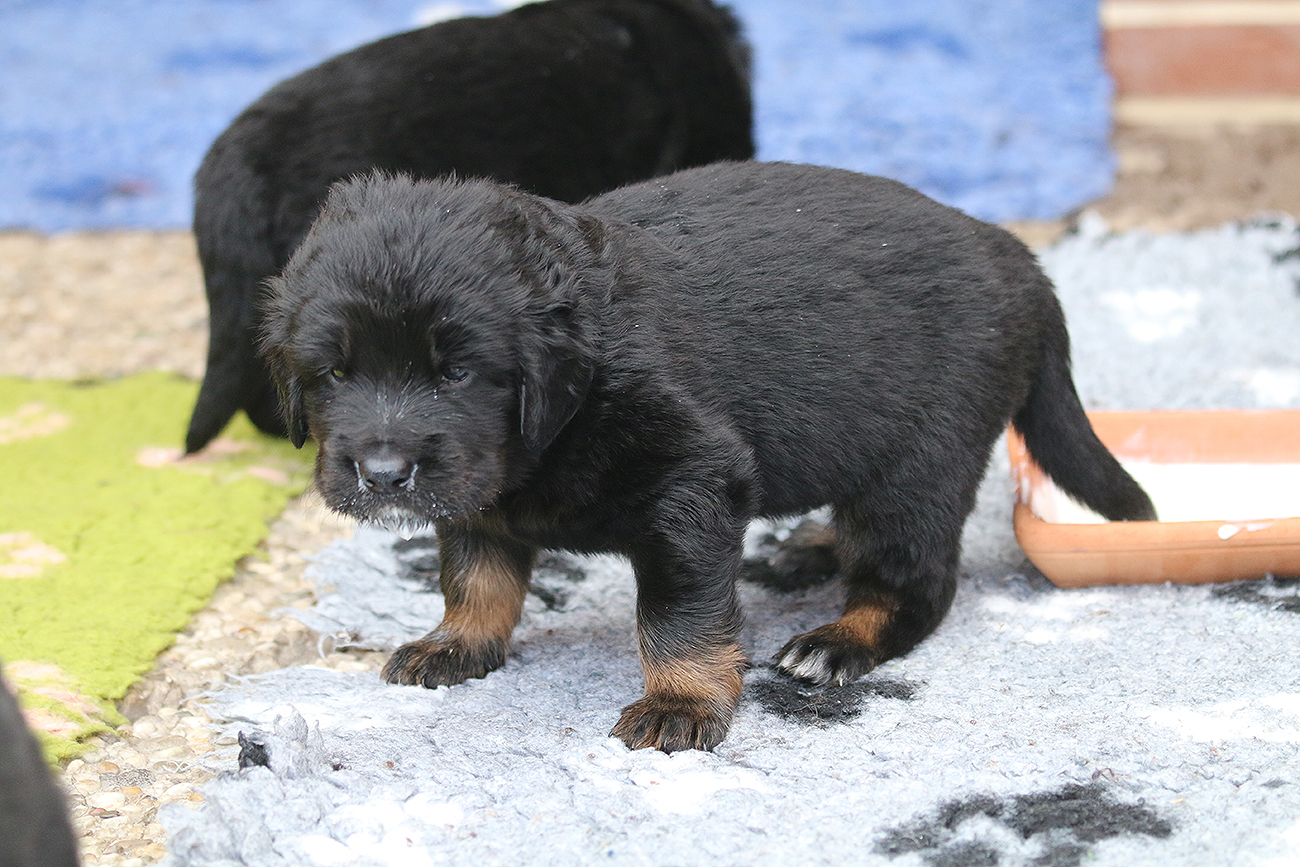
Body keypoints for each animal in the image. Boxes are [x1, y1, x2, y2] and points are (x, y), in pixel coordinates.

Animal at [260, 162, 1157, 753]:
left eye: (456, 372)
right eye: (334, 372)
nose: (382, 475)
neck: (574, 398)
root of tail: (1020, 260)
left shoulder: (691, 481)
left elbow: (678, 613)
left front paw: (682, 703)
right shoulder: (480, 488)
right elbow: (477, 573)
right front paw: (457, 642)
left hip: (919, 462)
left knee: (915, 579)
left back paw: (840, 639)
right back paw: (806, 549)